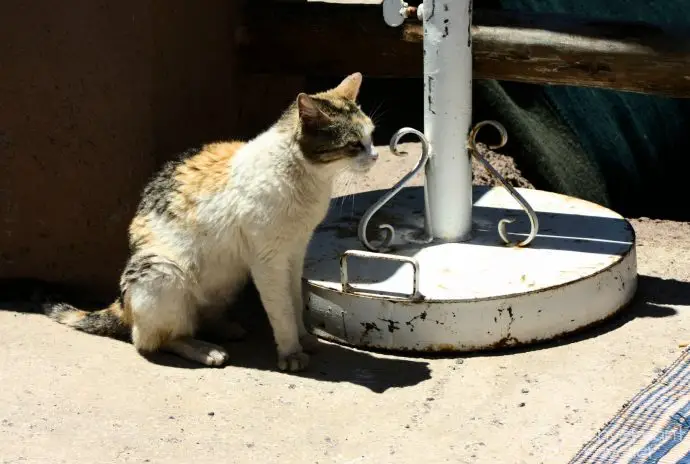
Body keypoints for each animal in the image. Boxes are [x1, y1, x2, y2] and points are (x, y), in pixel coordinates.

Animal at [41, 73, 376, 374]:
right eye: (353, 144)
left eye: (372, 136)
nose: (374, 157)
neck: (309, 179)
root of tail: (123, 306)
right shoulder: (269, 261)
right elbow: (281, 310)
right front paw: (291, 351)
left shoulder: (295, 252)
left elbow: (294, 300)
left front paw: (304, 339)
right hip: (164, 271)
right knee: (153, 340)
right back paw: (205, 350)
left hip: (225, 279)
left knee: (196, 320)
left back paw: (224, 328)